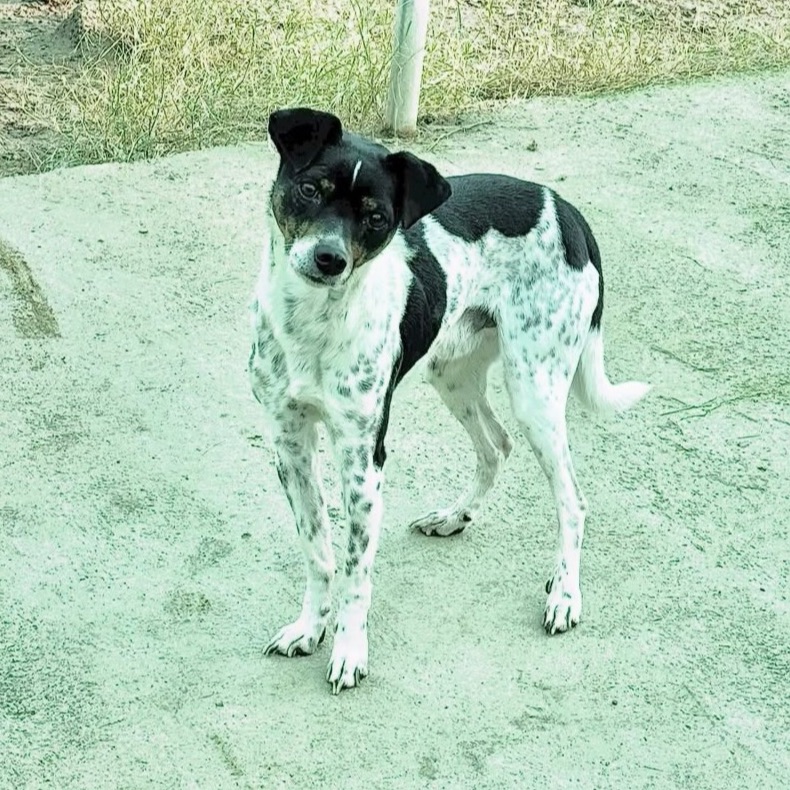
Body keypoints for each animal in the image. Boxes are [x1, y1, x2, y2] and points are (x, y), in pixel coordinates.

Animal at [248, 107, 649, 694]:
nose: (329, 259)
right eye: (308, 189)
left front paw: (348, 649)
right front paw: (309, 627)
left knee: (572, 501)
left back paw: (565, 594)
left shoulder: (363, 462)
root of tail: (565, 208)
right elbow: (320, 553)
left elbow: (355, 571)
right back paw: (455, 516)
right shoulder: (290, 445)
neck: (314, 325)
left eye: (376, 218)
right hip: (452, 371)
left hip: (534, 390)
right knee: (495, 446)